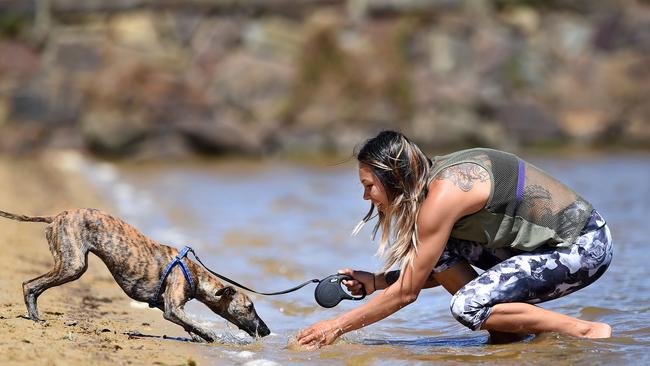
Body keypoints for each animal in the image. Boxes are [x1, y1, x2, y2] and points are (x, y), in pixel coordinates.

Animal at [0, 207, 270, 342]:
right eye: (249, 307)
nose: (267, 331)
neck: (193, 273)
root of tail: (55, 216)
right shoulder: (172, 307)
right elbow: (195, 323)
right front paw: (210, 336)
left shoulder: (164, 304)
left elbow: (188, 324)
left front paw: (197, 336)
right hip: (73, 265)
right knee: (29, 284)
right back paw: (34, 317)